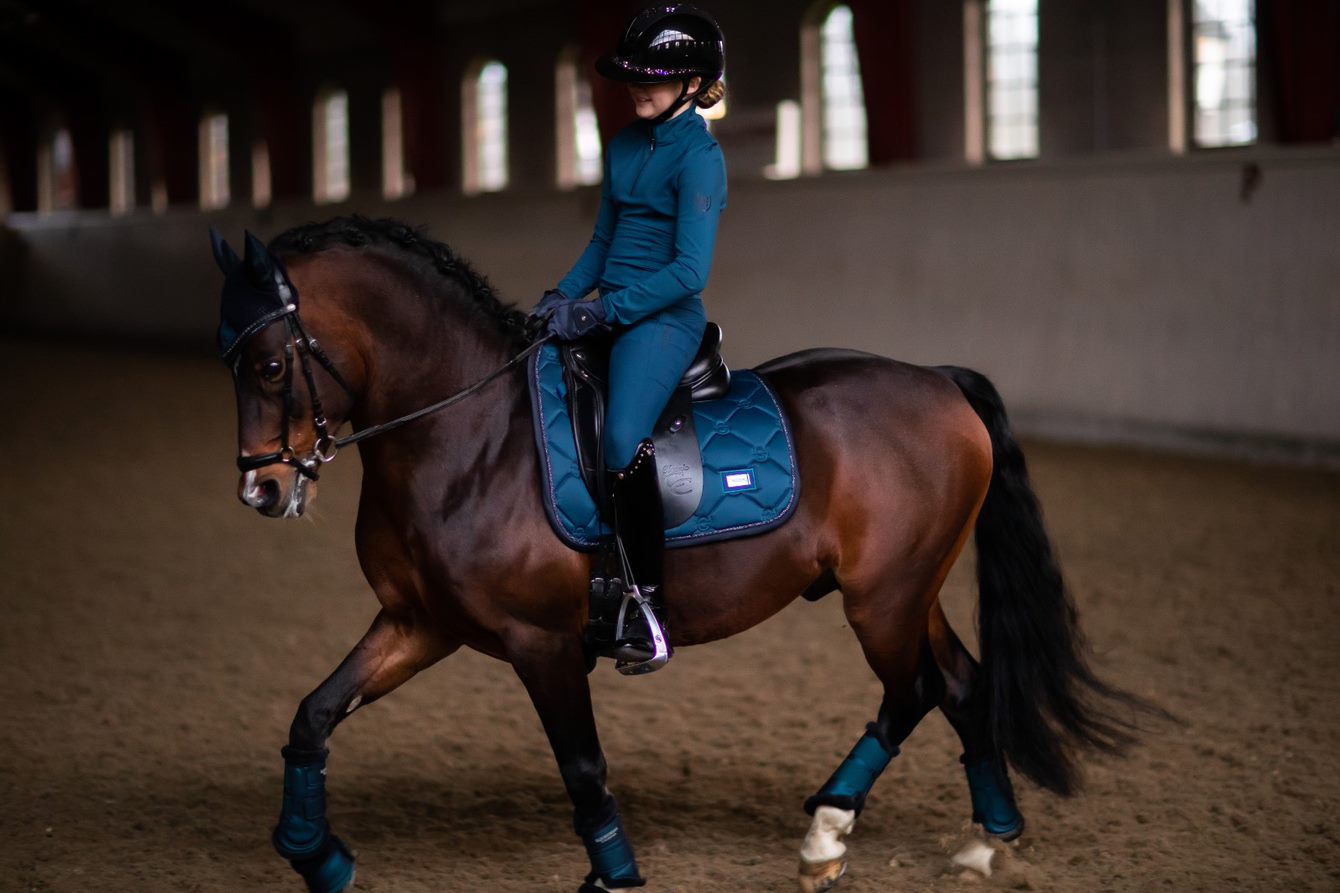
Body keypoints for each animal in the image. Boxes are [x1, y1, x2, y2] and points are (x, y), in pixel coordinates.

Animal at [214, 215, 1147, 890]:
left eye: (269, 365)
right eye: (232, 364)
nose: (262, 491)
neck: (467, 437)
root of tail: (938, 379)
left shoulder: (541, 644)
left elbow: (583, 767)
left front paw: (615, 878)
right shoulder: (418, 623)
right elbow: (314, 714)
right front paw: (316, 855)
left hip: (882, 598)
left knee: (913, 689)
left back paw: (826, 834)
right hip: (909, 588)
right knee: (960, 683)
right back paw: (989, 839)